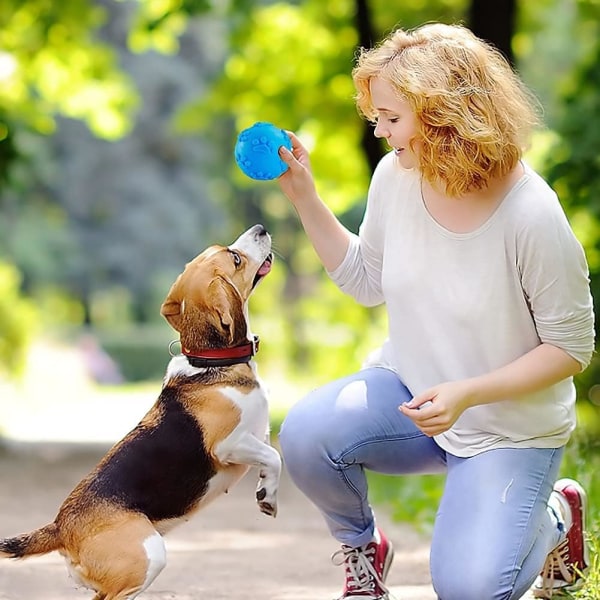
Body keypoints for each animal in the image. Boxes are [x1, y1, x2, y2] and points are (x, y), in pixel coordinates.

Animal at [0, 225, 282, 600]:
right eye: (235, 258)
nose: (260, 229)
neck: (211, 362)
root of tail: (61, 526)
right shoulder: (228, 445)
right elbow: (274, 456)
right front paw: (268, 498)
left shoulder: (258, 436)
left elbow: (271, 457)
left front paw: (266, 491)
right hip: (148, 554)